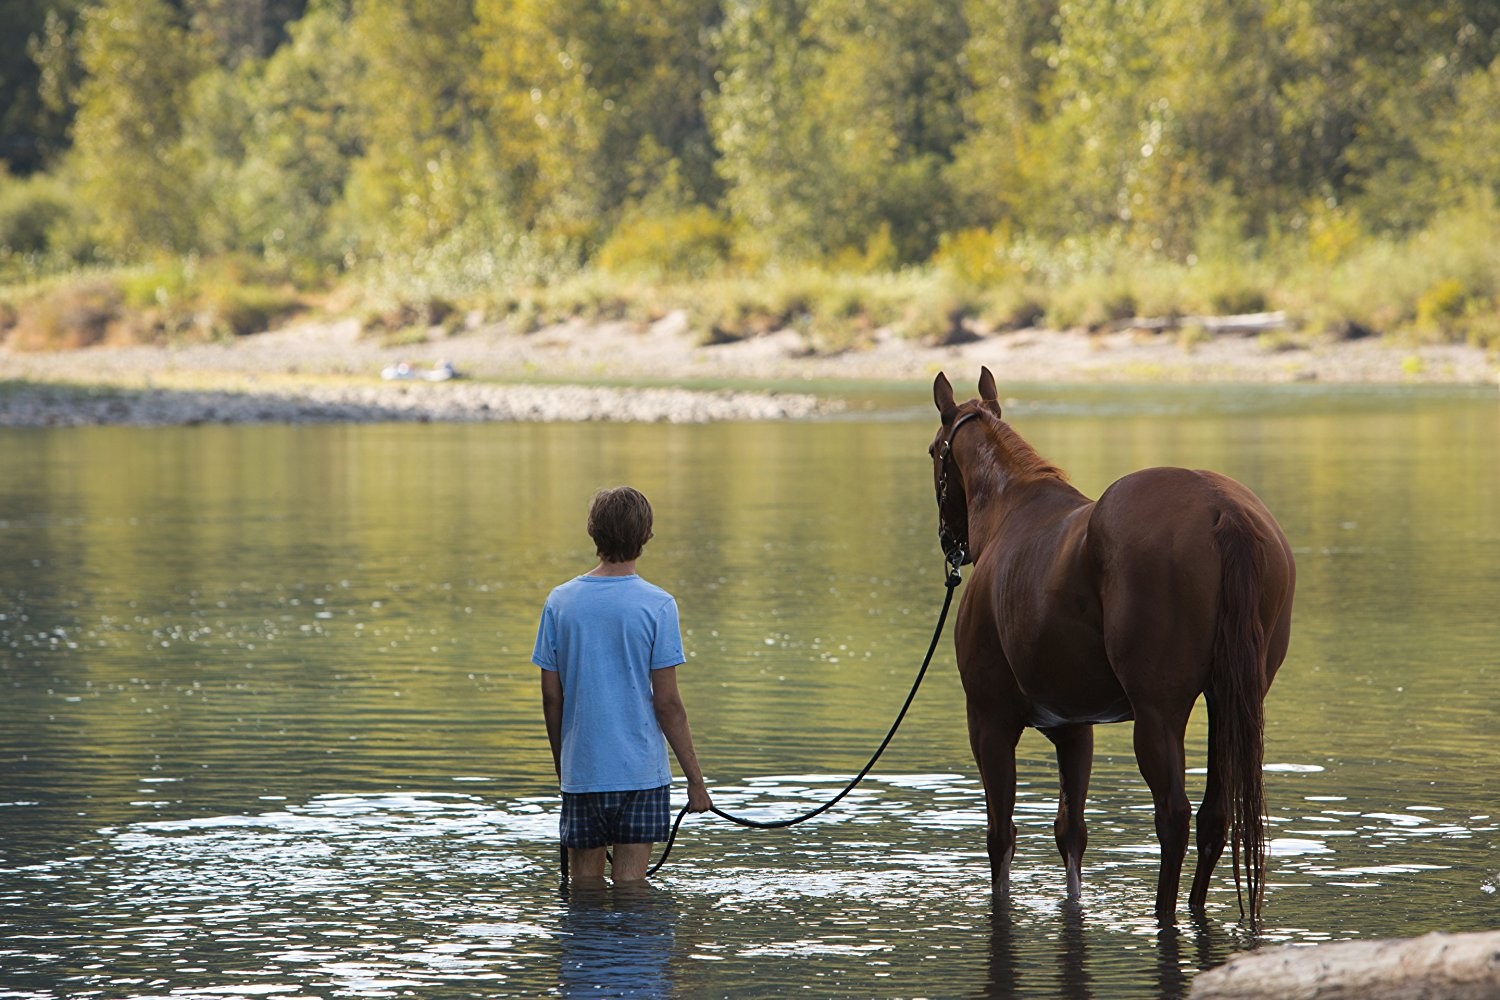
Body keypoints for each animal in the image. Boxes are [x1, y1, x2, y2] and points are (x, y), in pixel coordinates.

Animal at [924, 371, 1290, 929]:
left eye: (932, 452)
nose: (949, 542)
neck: (1013, 511)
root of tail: (1222, 508)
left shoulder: (989, 722)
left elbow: (1001, 836)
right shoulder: (1074, 729)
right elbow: (1070, 833)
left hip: (1159, 713)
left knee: (1174, 816)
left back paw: (1164, 912)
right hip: (1229, 702)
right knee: (1214, 816)